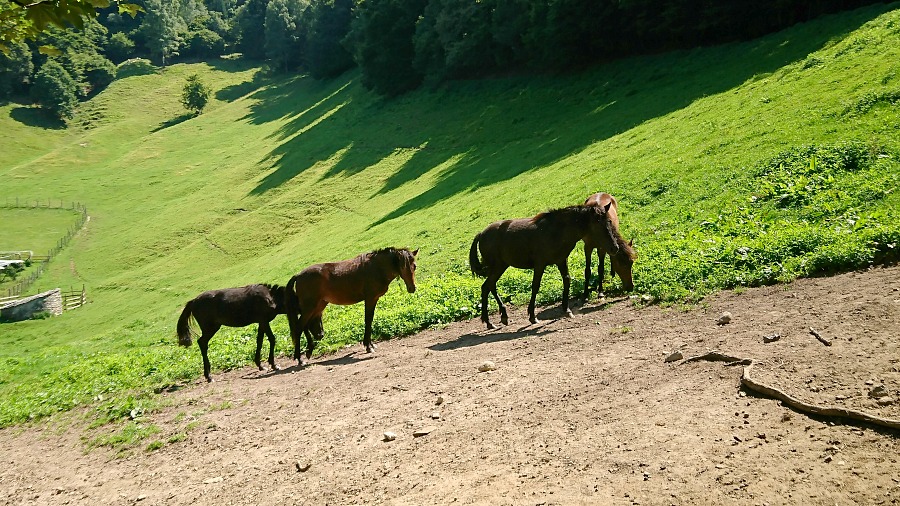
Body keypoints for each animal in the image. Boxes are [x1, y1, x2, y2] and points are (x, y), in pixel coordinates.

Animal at [284, 246, 418, 362]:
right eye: (402, 266)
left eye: (414, 266)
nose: (412, 288)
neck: (375, 268)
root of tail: (299, 275)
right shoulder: (370, 299)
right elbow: (368, 320)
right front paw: (368, 346)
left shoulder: (373, 299)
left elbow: (370, 320)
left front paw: (370, 344)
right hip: (310, 307)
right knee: (299, 327)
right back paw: (299, 359)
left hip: (318, 305)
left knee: (306, 325)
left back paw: (309, 351)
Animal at [468, 204, 624, 330]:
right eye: (598, 224)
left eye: (609, 221)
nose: (614, 248)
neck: (555, 231)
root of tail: (481, 234)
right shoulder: (540, 265)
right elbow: (535, 287)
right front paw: (532, 316)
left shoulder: (561, 261)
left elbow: (567, 280)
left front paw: (567, 310)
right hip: (498, 267)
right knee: (486, 287)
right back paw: (490, 322)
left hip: (500, 267)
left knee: (489, 286)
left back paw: (502, 317)